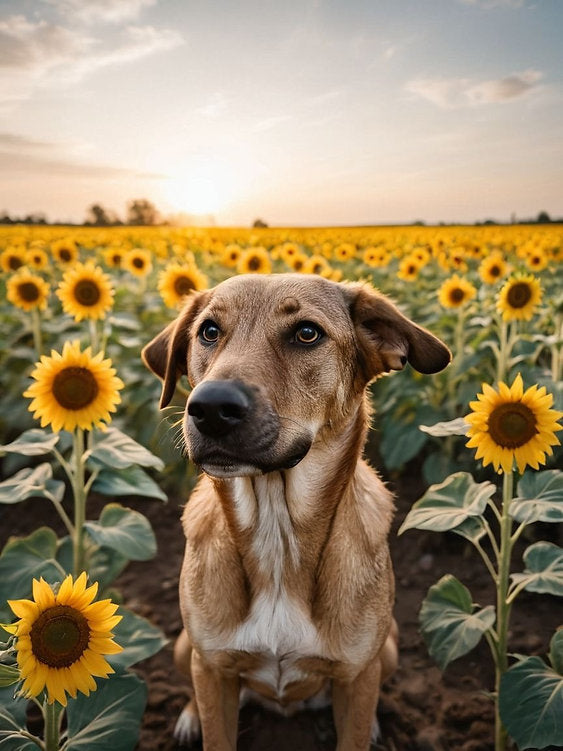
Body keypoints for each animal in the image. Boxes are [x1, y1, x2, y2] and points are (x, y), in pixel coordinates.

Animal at [143, 274, 452, 751]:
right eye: (208, 332)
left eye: (307, 333)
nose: (209, 408)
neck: (277, 532)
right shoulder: (211, 668)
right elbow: (216, 727)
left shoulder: (359, 673)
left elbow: (354, 728)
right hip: (185, 648)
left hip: (388, 648)